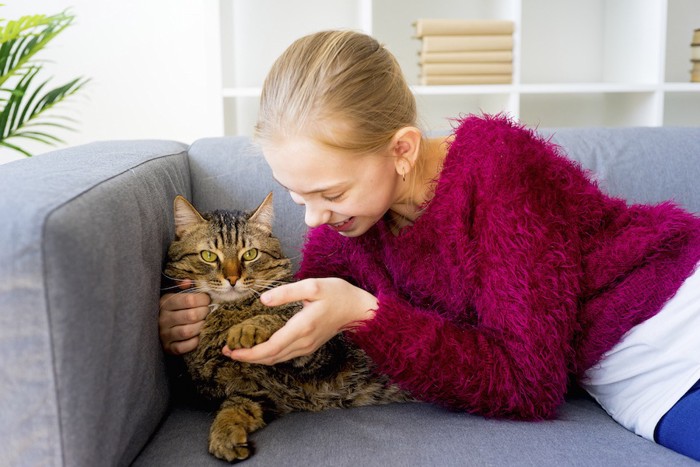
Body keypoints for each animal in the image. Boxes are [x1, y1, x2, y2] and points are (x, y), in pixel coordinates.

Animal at [164, 195, 410, 464]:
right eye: (208, 256)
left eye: (250, 254)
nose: (232, 279)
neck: (229, 309)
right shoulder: (257, 392)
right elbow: (233, 409)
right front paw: (224, 437)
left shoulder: (326, 350)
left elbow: (280, 316)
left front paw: (246, 329)